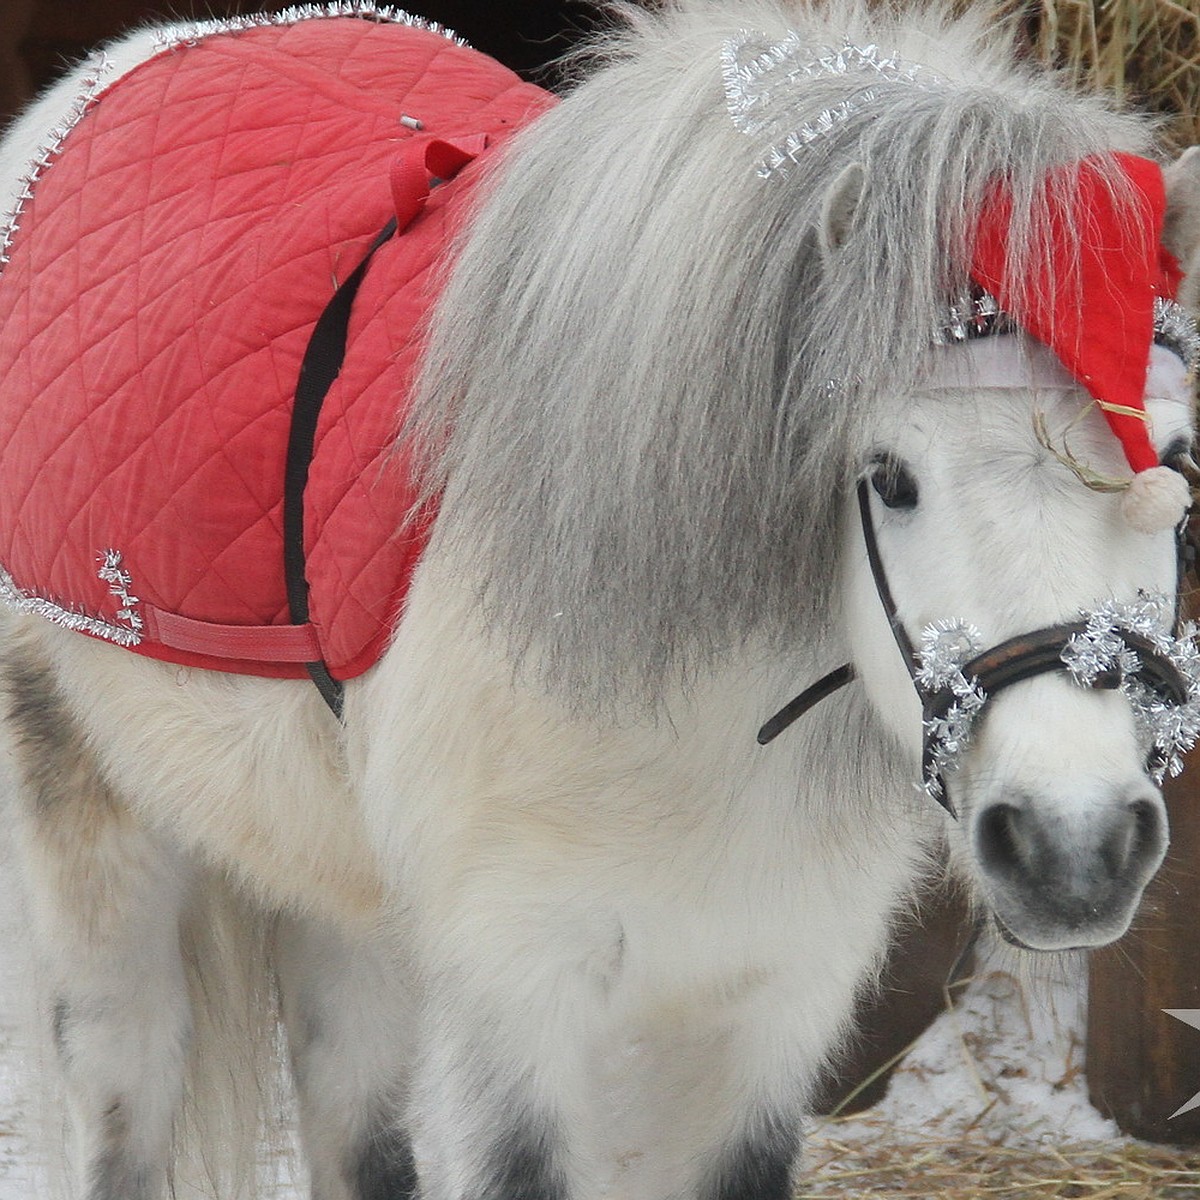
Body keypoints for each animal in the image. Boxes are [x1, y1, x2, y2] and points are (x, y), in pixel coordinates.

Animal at [2, 2, 1200, 1200]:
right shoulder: (515, 1001)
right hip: (107, 894)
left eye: (1178, 463)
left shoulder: (769, 1002)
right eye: (889, 475)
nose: (1076, 848)